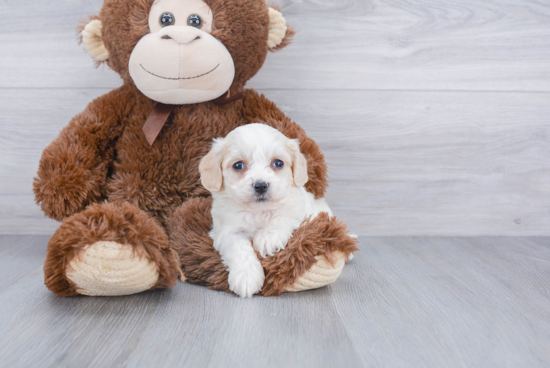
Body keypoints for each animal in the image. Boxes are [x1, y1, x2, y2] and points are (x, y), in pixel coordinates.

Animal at [201, 122, 334, 298]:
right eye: (238, 165)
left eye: (278, 163)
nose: (260, 185)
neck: (258, 211)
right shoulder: (226, 231)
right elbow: (239, 247)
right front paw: (246, 277)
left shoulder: (298, 212)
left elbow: (282, 217)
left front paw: (267, 238)